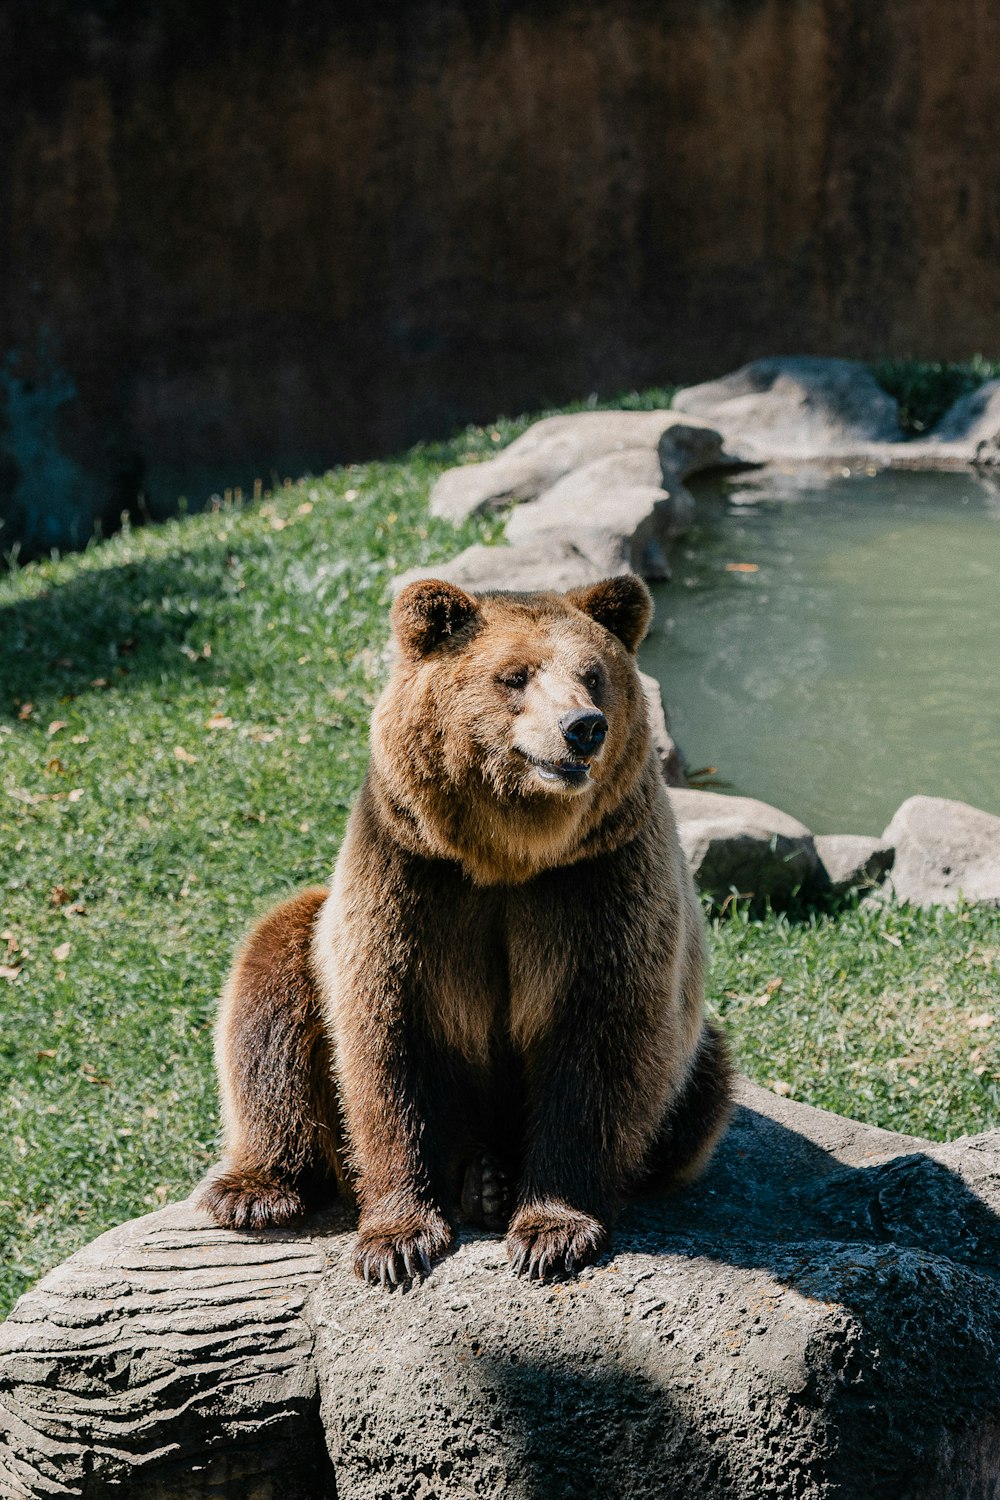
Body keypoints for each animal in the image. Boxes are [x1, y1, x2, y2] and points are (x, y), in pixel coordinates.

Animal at [199, 579, 731, 1284]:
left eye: (594, 674)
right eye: (514, 676)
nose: (582, 728)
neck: (509, 856)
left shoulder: (599, 886)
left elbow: (596, 1049)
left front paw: (551, 1232)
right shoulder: (411, 879)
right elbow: (387, 1044)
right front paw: (397, 1240)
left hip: (690, 1076)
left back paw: (491, 1185)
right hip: (314, 941)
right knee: (272, 983)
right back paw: (256, 1189)